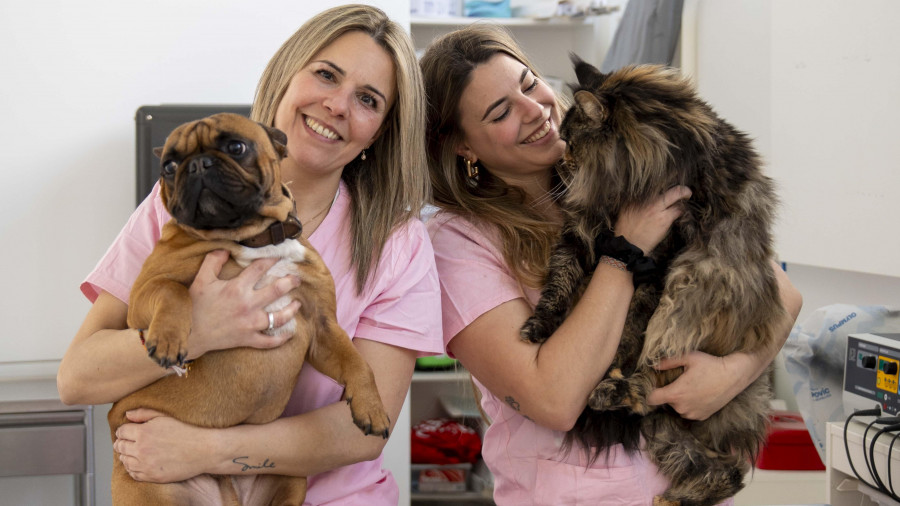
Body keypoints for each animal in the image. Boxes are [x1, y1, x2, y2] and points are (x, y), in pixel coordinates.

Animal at [524, 57, 784, 504]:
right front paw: (539, 326)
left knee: (654, 385)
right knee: (725, 469)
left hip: (685, 294)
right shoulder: (580, 232)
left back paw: (609, 392)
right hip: (668, 432)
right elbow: (558, 284)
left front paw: (611, 368)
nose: (558, 164)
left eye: (571, 143)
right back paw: (674, 496)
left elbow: (629, 330)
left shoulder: (658, 262)